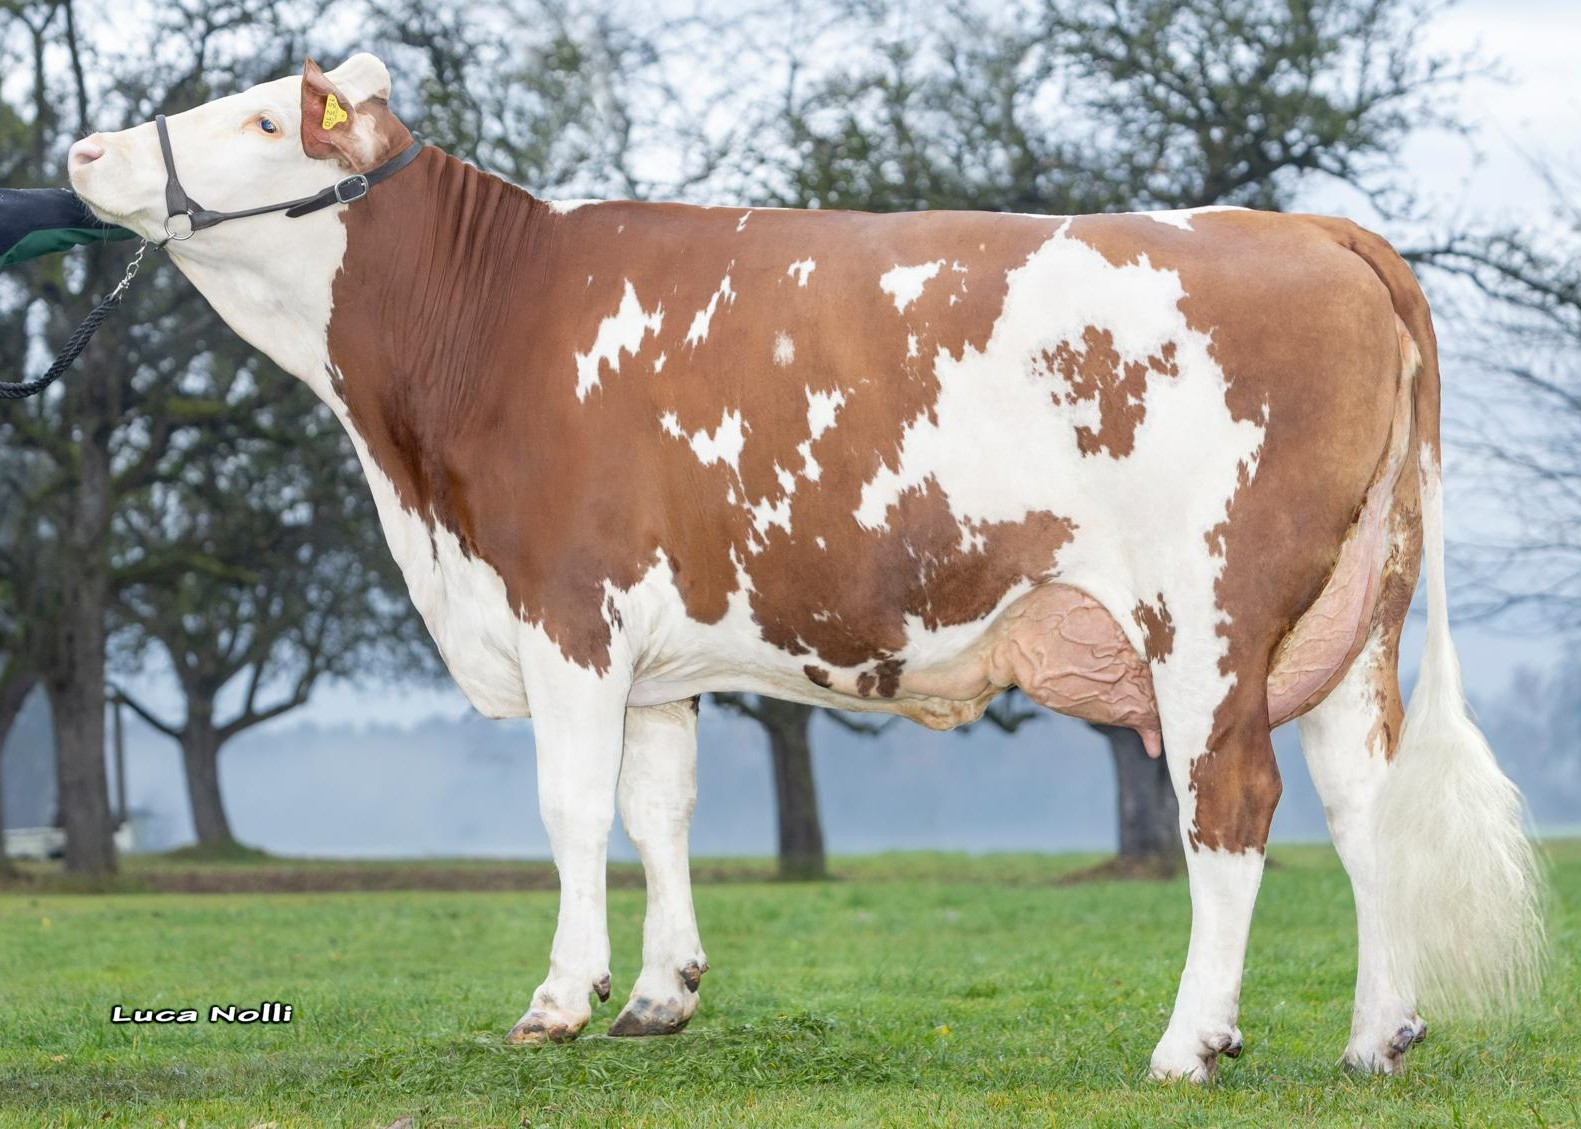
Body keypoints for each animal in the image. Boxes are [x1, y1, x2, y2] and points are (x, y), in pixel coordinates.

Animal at [65, 54, 1542, 1082]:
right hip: (1347, 621)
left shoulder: (566, 607)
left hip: (1211, 616)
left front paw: (556, 1001)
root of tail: (1303, 228)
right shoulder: (654, 647)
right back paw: (1375, 1034)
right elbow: (658, 809)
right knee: (1364, 806)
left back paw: (1191, 1043)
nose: (82, 146)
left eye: (266, 121)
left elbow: (569, 807)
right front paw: (657, 995)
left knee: (1230, 806)